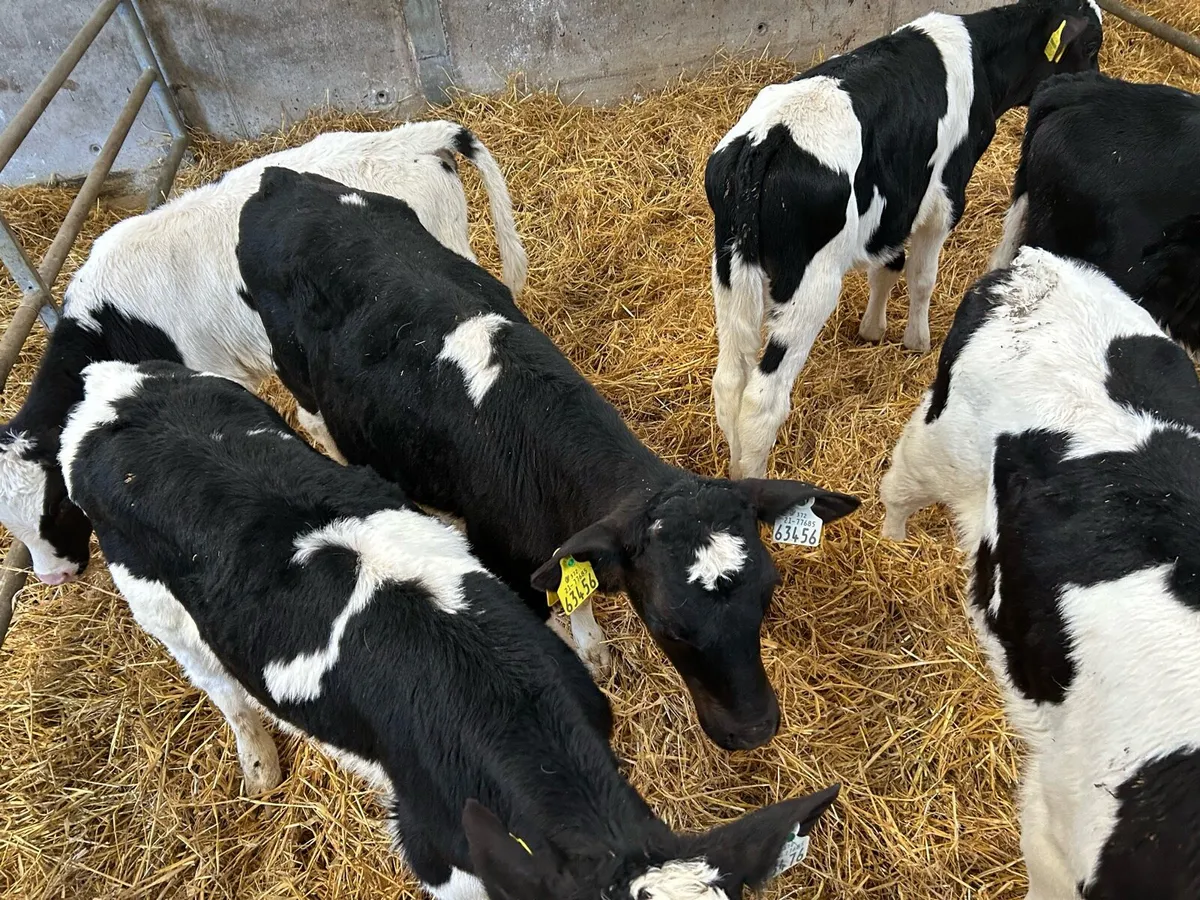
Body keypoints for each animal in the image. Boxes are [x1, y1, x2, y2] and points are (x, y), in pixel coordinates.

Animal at [59, 358, 841, 900]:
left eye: (771, 592)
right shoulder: (437, 852)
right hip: (153, 601)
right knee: (221, 686)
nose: (754, 728)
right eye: (670, 624)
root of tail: (113, 385)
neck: (490, 701)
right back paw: (259, 763)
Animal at [235, 167, 861, 751]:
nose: (754, 729)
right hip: (297, 374)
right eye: (666, 624)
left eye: (768, 590)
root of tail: (281, 179)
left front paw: (591, 643)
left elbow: (570, 574)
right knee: (317, 423)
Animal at [706, 0, 1103, 480]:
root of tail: (767, 139)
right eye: (1090, 45)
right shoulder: (945, 195)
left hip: (729, 269)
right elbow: (921, 277)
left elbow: (888, 267)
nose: (1094, 83)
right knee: (762, 399)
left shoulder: (896, 203)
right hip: (811, 286)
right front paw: (918, 340)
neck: (980, 58)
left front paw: (873, 329)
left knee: (729, 382)